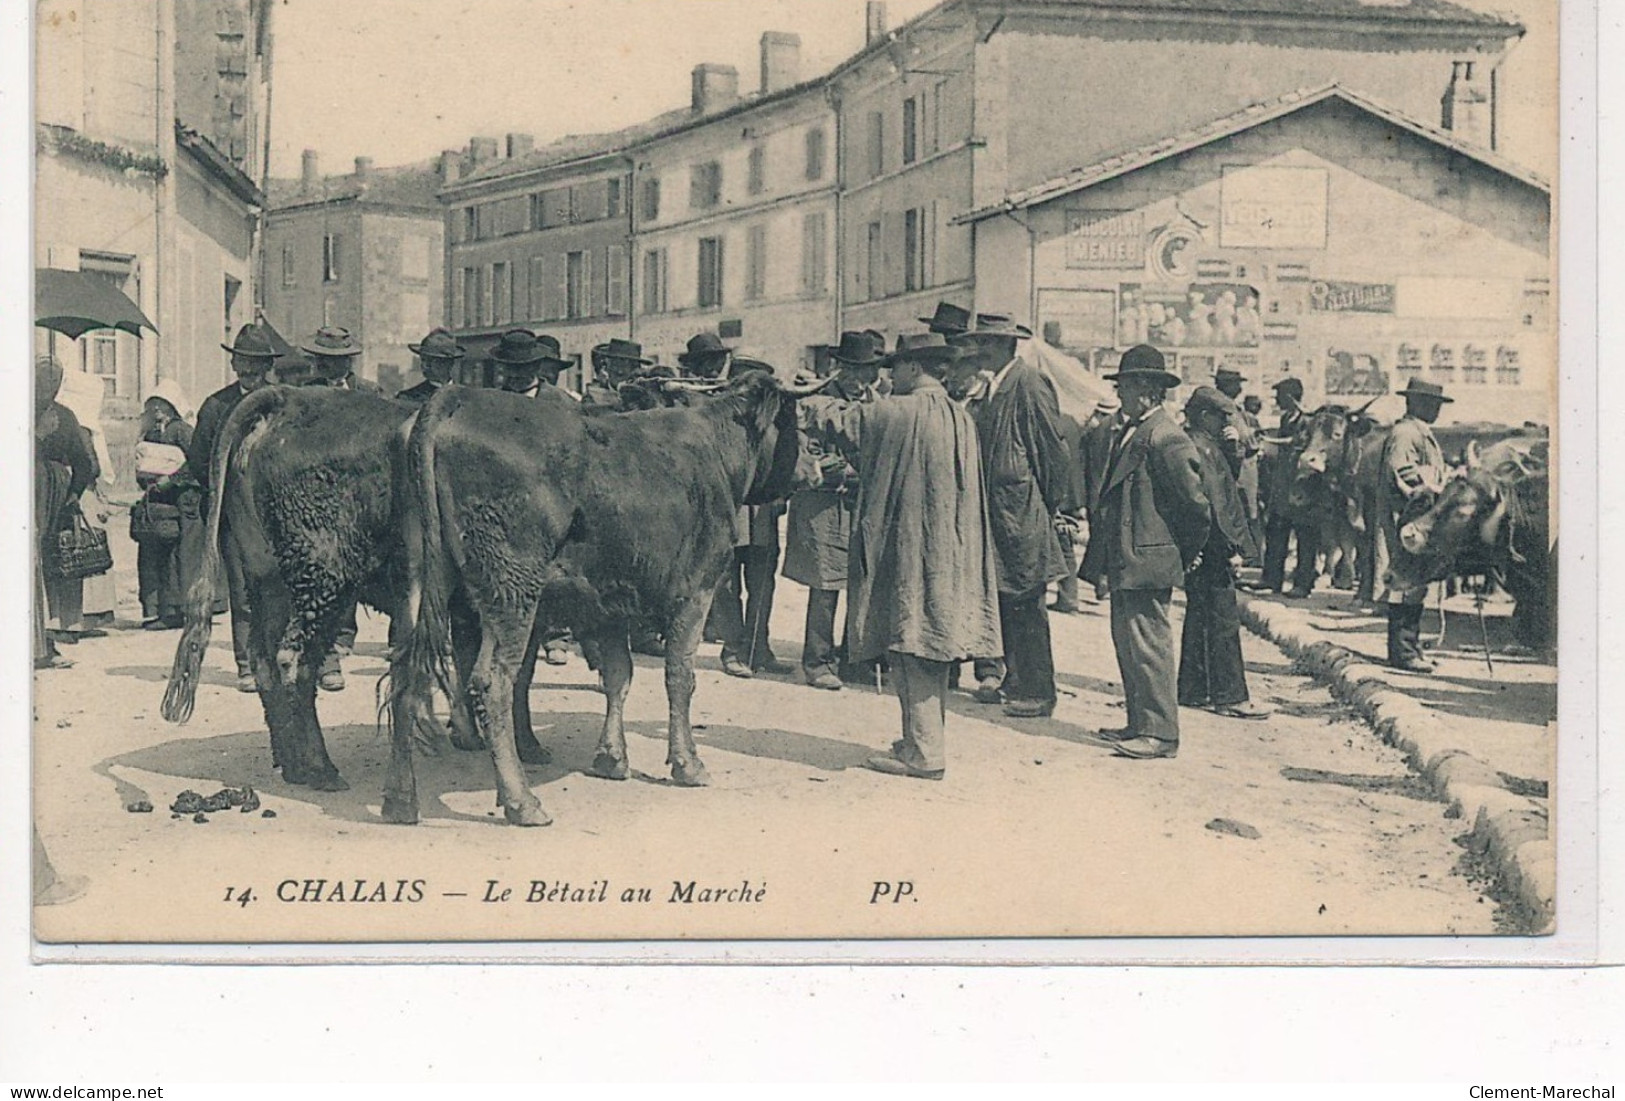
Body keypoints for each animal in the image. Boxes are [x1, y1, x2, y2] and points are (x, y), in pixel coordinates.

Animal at [160, 388, 549, 792]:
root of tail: (286, 399)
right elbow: (516, 675)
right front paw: (525, 746)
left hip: (268, 575)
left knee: (266, 659)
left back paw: (292, 764)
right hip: (326, 579)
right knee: (296, 664)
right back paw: (320, 769)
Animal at [383, 370, 825, 828]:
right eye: (797, 421)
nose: (819, 459)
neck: (716, 447)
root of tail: (457, 397)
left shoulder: (609, 602)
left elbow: (619, 676)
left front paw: (611, 757)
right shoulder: (696, 590)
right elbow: (679, 677)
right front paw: (687, 763)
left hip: (417, 579)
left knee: (404, 673)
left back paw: (400, 800)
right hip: (514, 587)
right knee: (493, 684)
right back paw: (522, 801)